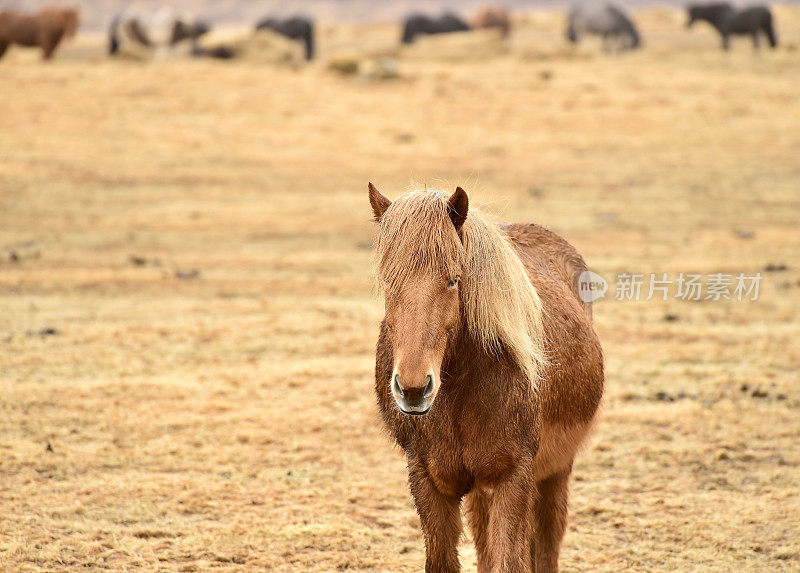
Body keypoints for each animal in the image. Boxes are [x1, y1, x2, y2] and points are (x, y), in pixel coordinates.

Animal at [368, 184, 600, 572]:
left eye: (453, 280)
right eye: (388, 280)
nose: (413, 390)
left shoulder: (513, 478)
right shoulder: (427, 481)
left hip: (555, 470)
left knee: (547, 542)